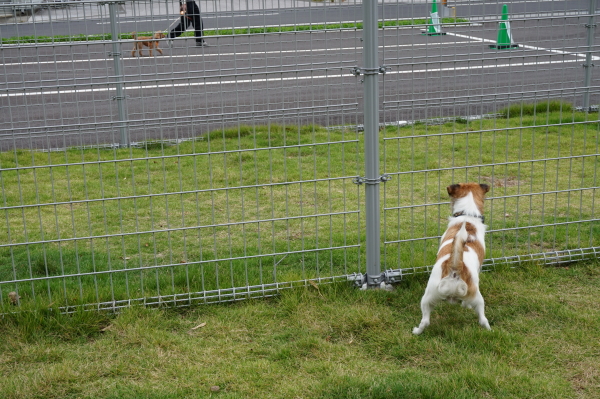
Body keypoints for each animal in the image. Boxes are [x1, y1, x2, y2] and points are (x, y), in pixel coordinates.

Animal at [412, 183, 492, 336]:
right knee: (482, 318)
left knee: (425, 321)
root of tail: (454, 270)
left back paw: (416, 331)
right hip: (476, 297)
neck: (467, 215)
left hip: (428, 297)